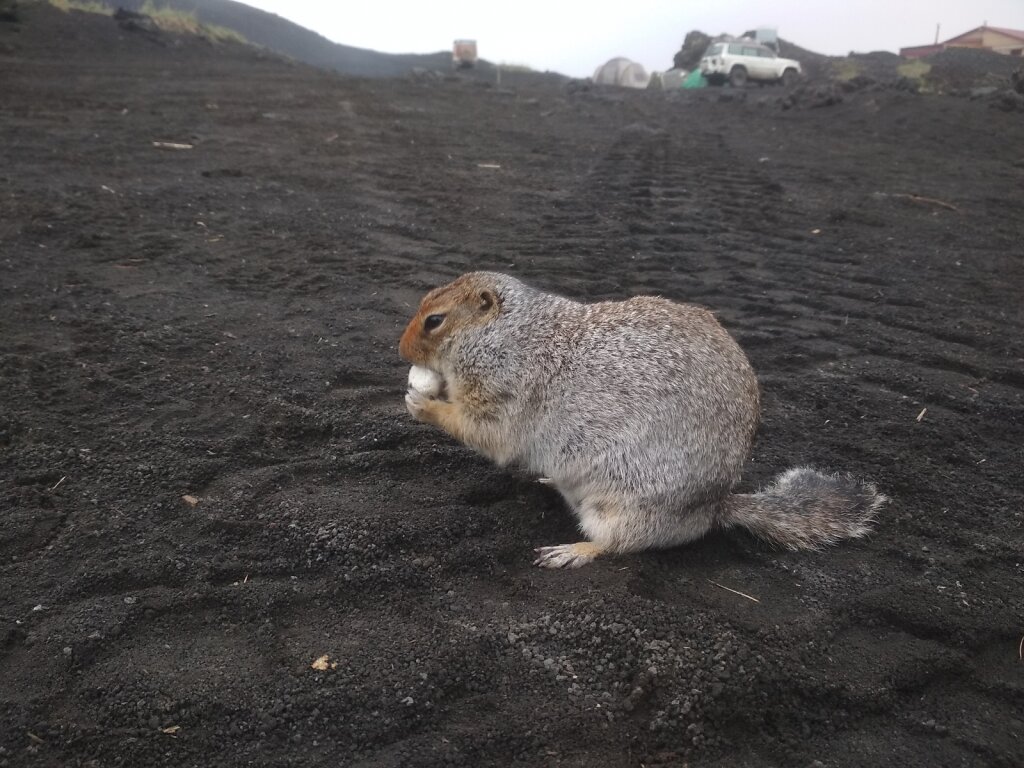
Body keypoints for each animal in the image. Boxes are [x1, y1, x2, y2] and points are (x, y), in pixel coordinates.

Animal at [395, 274, 884, 569]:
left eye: (434, 320)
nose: (400, 350)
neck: (509, 334)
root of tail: (714, 508)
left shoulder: (506, 387)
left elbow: (487, 431)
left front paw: (422, 403)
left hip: (626, 507)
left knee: (619, 544)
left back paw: (572, 550)